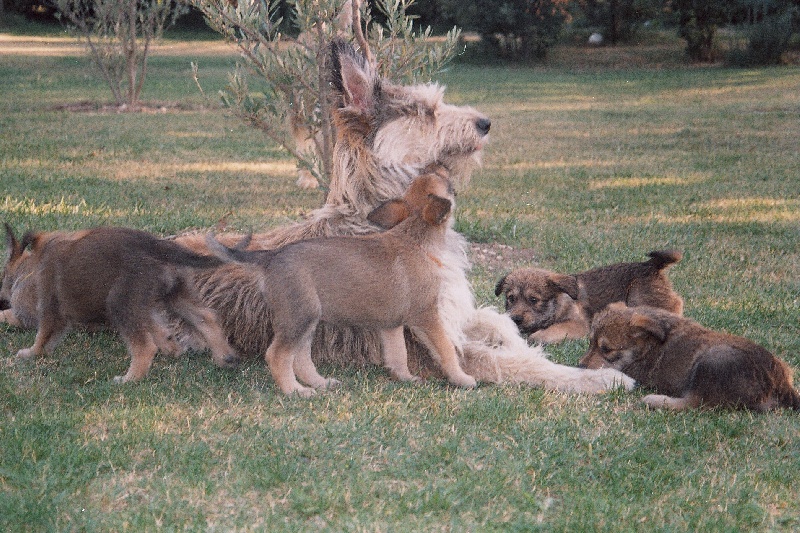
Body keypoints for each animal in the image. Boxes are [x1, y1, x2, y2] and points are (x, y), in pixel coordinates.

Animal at [0, 224, 238, 382]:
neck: (29, 268)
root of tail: (157, 246)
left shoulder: (51, 310)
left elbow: (42, 337)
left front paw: (31, 353)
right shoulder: (145, 306)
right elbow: (160, 329)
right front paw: (171, 347)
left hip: (119, 301)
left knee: (144, 347)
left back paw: (130, 379)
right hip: (176, 294)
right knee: (207, 318)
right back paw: (223, 357)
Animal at [206, 169, 478, 394]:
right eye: (445, 181)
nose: (440, 166)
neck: (417, 237)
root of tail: (271, 256)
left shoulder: (391, 325)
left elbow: (397, 353)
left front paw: (405, 377)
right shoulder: (427, 315)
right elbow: (446, 348)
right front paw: (461, 378)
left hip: (306, 319)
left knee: (301, 358)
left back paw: (320, 383)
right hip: (299, 318)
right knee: (278, 355)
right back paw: (295, 391)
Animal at [494, 250, 680, 342]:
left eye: (533, 300)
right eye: (511, 298)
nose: (515, 319)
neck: (559, 304)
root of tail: (650, 265)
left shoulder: (578, 325)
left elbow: (547, 332)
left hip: (640, 298)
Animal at [580, 304, 800, 412]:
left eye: (606, 349)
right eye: (590, 342)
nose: (580, 365)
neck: (649, 344)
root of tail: (780, 383)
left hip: (712, 362)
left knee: (695, 403)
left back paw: (655, 400)